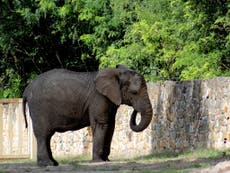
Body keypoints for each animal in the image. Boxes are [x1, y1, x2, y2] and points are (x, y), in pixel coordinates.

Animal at [22, 64, 153, 166]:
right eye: (134, 93)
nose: (135, 110)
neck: (116, 73)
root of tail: (26, 90)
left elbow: (111, 126)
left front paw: (107, 160)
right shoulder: (99, 98)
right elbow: (102, 124)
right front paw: (98, 162)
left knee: (47, 136)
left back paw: (54, 163)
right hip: (39, 108)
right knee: (43, 134)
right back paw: (47, 164)